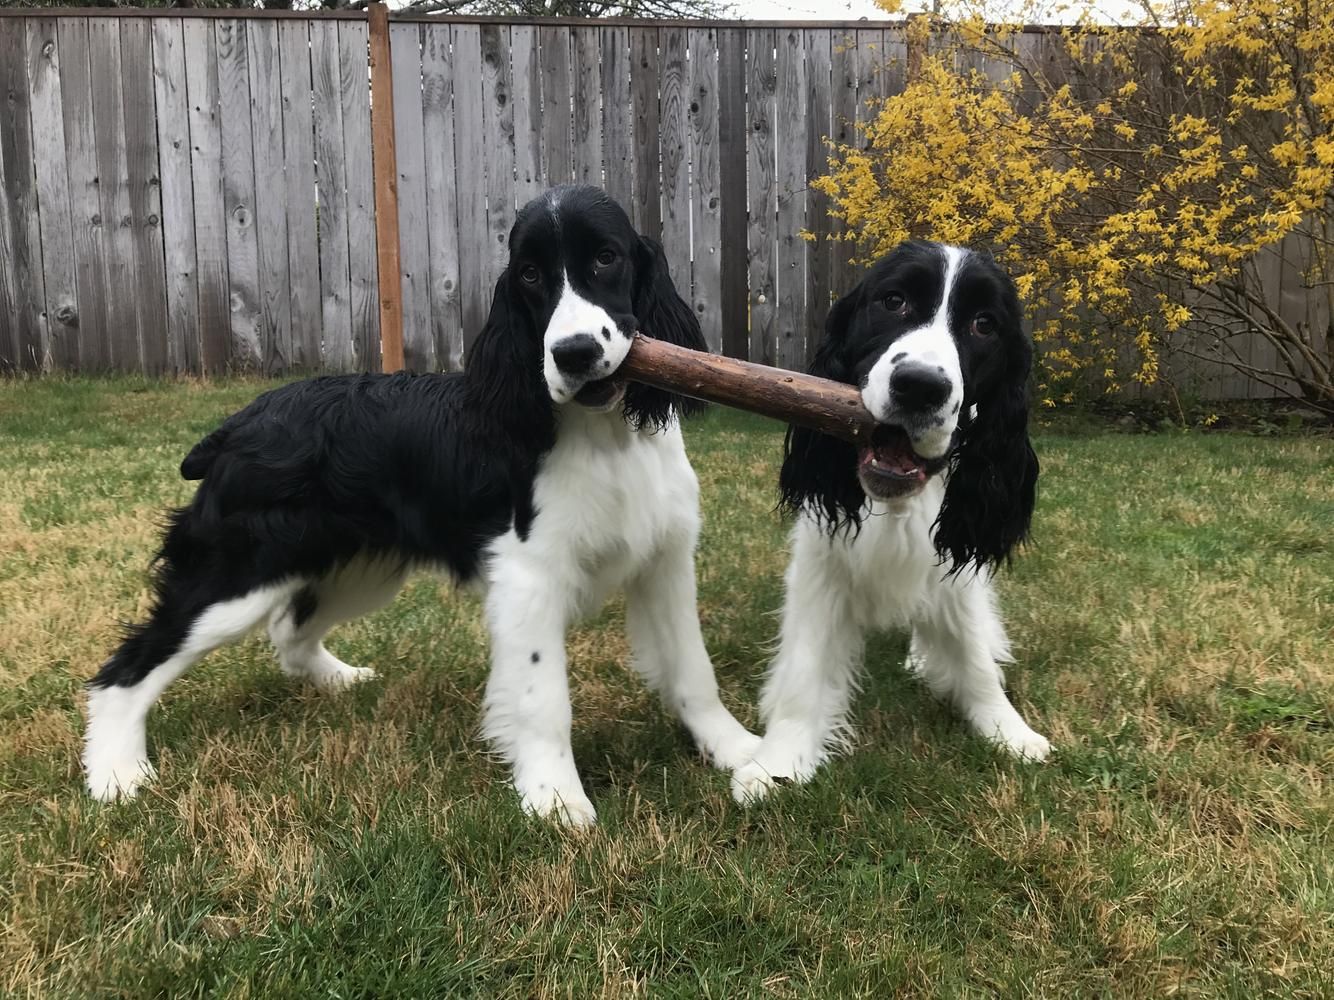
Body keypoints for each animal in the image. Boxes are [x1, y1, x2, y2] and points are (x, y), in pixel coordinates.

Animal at [731, 238, 1051, 805]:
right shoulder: (821, 563)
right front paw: (778, 762)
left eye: (985, 324)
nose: (920, 387)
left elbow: (972, 651)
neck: (896, 503)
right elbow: (805, 667)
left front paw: (1008, 730)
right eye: (894, 301)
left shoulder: (951, 563)